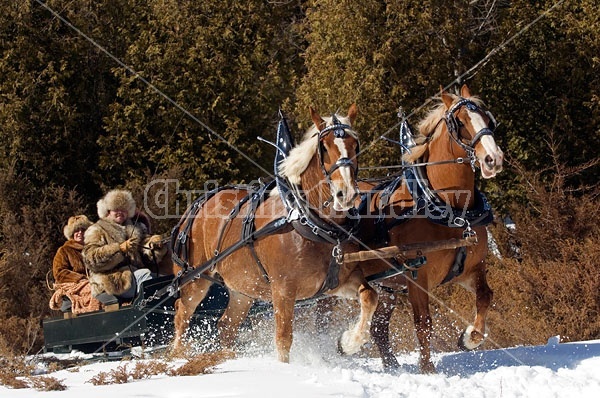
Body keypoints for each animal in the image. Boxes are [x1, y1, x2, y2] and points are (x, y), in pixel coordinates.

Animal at [169, 105, 378, 360]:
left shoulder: (339, 282)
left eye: (355, 145)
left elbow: (370, 297)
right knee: (182, 314)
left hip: (243, 288)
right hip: (194, 279)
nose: (345, 194)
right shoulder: (283, 289)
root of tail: (196, 206)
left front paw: (348, 342)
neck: (311, 224)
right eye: (324, 147)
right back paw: (176, 357)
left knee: (227, 325)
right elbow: (283, 339)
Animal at [358, 84, 504, 374]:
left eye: (488, 118)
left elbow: (485, 297)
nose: (493, 159)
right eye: (460, 122)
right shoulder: (417, 277)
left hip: (388, 286)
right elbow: (423, 322)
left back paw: (391, 365)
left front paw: (469, 338)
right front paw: (427, 369)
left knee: (379, 326)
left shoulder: (471, 269)